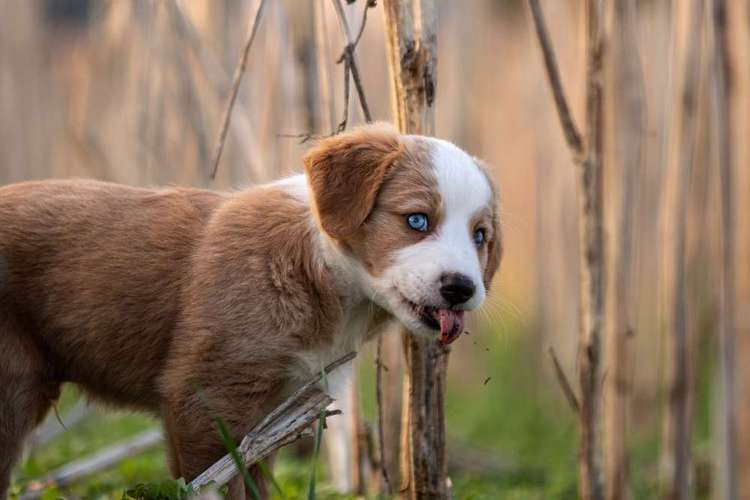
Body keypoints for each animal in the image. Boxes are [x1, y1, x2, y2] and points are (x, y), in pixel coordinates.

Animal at [1, 123, 506, 498]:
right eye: (416, 220)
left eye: (480, 236)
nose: (461, 288)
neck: (321, 267)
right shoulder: (204, 397)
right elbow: (215, 484)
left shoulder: (276, 411)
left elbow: (253, 481)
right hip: (13, 385)